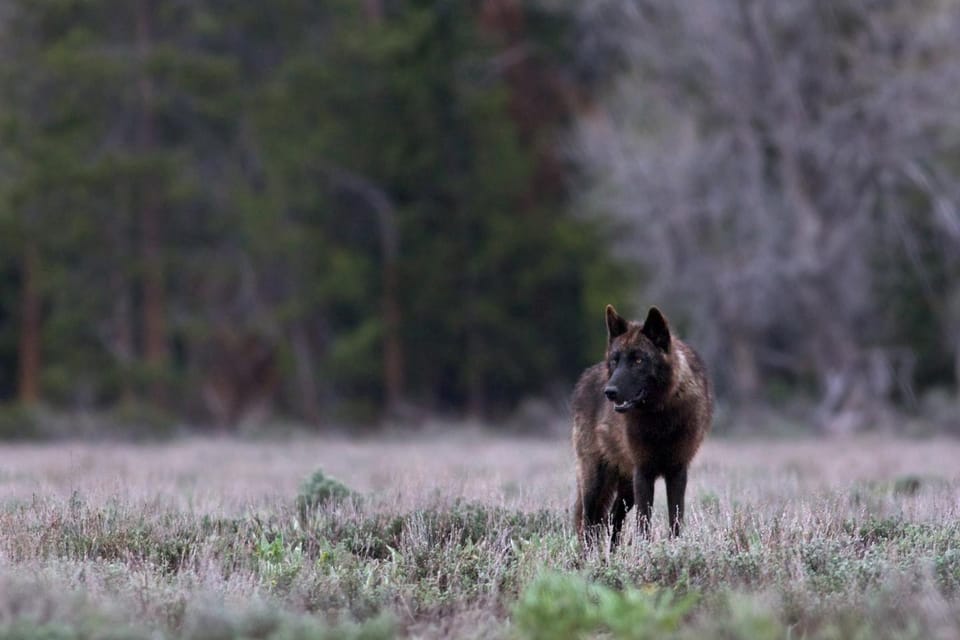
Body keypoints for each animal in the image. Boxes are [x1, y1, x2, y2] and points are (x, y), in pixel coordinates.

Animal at [572, 304, 708, 544]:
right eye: (615, 360)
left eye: (638, 360)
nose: (609, 392)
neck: (660, 418)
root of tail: (585, 378)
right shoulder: (643, 472)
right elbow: (643, 523)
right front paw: (646, 549)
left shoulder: (677, 471)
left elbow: (675, 520)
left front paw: (673, 547)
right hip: (595, 481)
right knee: (588, 524)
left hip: (626, 490)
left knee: (612, 519)